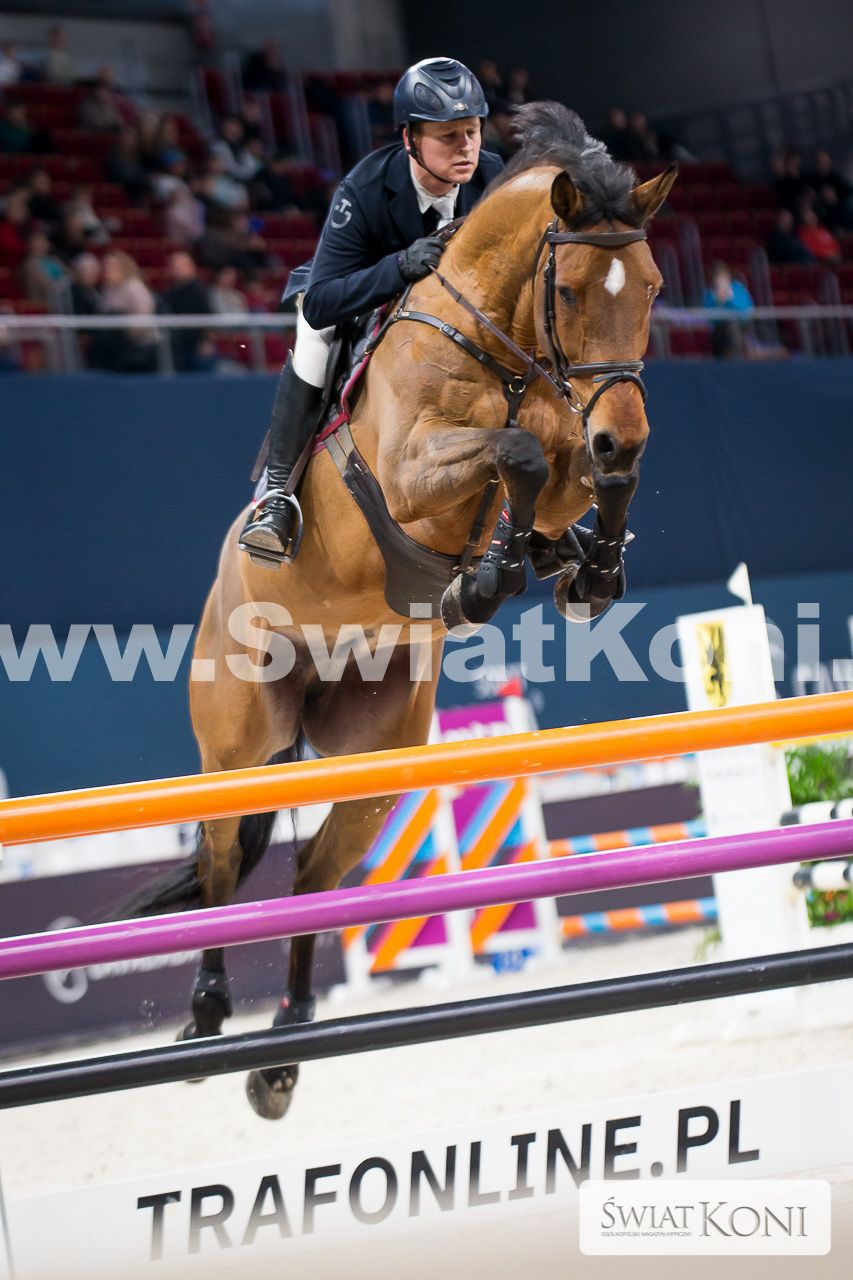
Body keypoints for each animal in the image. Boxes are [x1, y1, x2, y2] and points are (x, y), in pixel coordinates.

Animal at [124, 103, 676, 1119]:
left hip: (373, 759)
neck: (499, 348)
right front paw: (486, 578)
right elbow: (515, 455)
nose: (621, 427)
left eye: (652, 287)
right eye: (574, 289)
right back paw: (208, 1019)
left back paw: (282, 1054)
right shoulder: (416, 473)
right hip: (239, 741)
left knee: (313, 879)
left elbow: (572, 477)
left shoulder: (570, 444)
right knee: (219, 865)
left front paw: (578, 572)